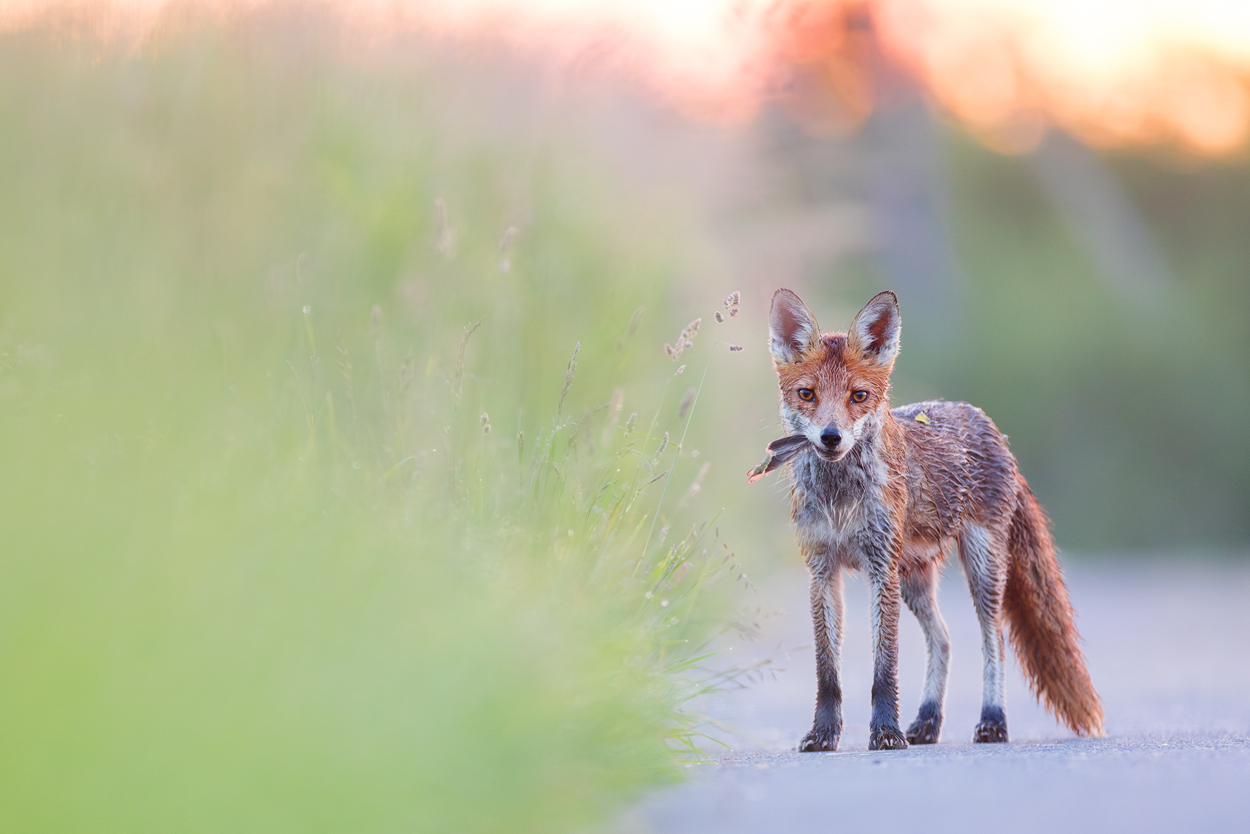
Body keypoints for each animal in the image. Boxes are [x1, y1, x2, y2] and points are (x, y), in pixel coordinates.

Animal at [760, 290, 1105, 755]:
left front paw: (885, 732)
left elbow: (884, 667)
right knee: (942, 638)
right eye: (807, 394)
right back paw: (927, 721)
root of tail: (987, 423)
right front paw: (823, 733)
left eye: (858, 396)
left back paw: (992, 721)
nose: (831, 437)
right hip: (915, 579)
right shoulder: (822, 571)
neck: (840, 500)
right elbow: (827, 670)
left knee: (993, 641)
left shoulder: (881, 569)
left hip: (982, 567)